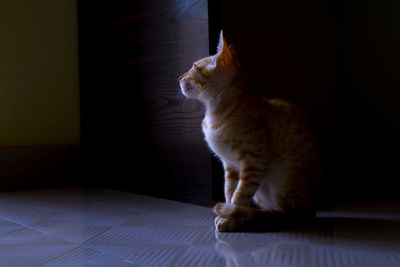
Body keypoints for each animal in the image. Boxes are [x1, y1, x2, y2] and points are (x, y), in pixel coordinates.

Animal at [178, 31, 322, 232]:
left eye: (193, 66)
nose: (178, 78)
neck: (214, 113)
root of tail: (315, 205)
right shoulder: (230, 166)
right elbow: (229, 191)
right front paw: (229, 213)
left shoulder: (254, 161)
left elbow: (239, 195)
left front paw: (230, 218)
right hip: (262, 191)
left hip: (285, 175)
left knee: (292, 213)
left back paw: (258, 216)